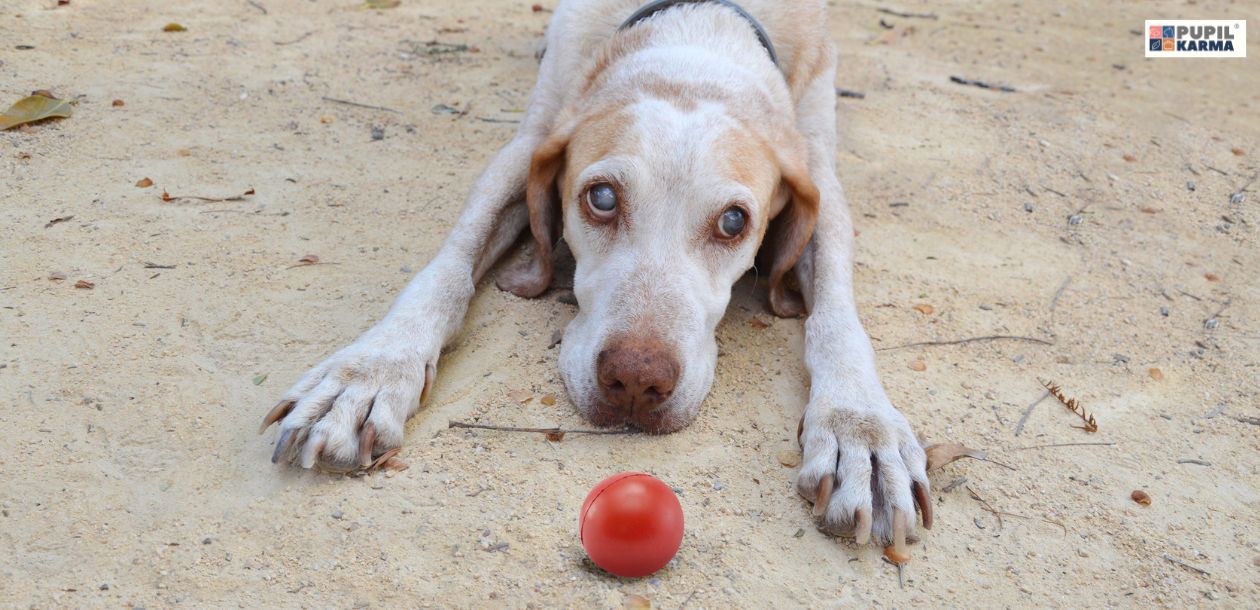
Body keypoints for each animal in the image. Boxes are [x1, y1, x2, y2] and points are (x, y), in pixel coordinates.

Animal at [263, 0, 937, 552]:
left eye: (734, 221)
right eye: (603, 198)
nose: (636, 381)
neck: (698, 42)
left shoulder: (820, 175)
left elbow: (838, 320)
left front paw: (861, 430)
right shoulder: (529, 142)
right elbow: (447, 269)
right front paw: (369, 373)